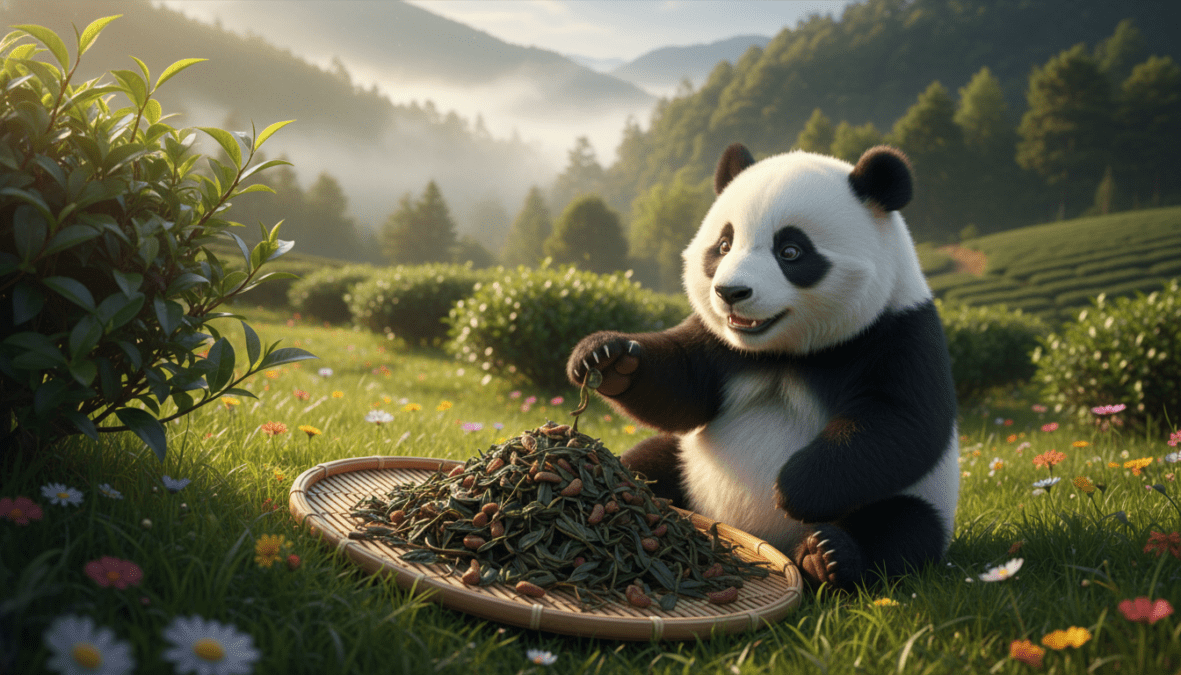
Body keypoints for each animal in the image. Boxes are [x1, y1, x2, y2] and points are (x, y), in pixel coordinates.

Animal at [565, 144, 959, 591]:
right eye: (723, 245)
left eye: (791, 251)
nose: (730, 292)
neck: (782, 352)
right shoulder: (721, 346)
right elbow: (681, 387)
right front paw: (607, 359)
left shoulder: (897, 331)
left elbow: (904, 421)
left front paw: (791, 489)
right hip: (686, 466)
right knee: (643, 465)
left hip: (918, 497)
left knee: (902, 530)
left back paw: (826, 556)